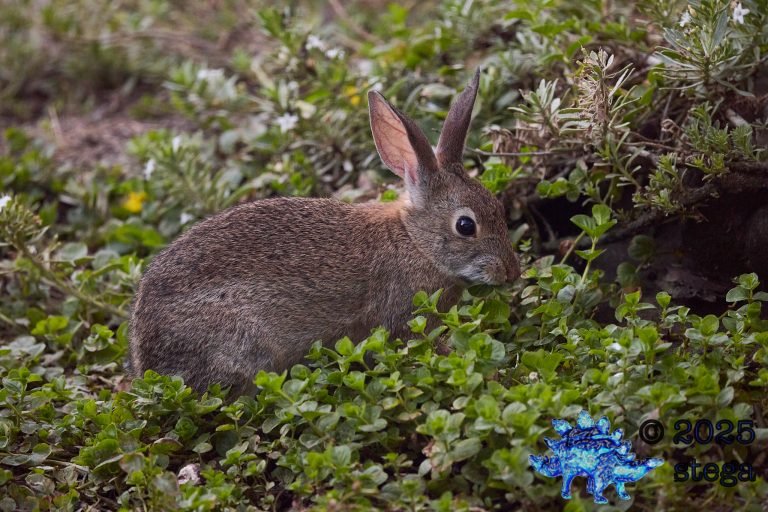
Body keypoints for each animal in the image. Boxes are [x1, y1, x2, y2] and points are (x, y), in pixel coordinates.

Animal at [128, 69, 520, 397]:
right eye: (466, 226)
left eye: (498, 207)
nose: (512, 272)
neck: (414, 241)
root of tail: (146, 357)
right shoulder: (404, 316)